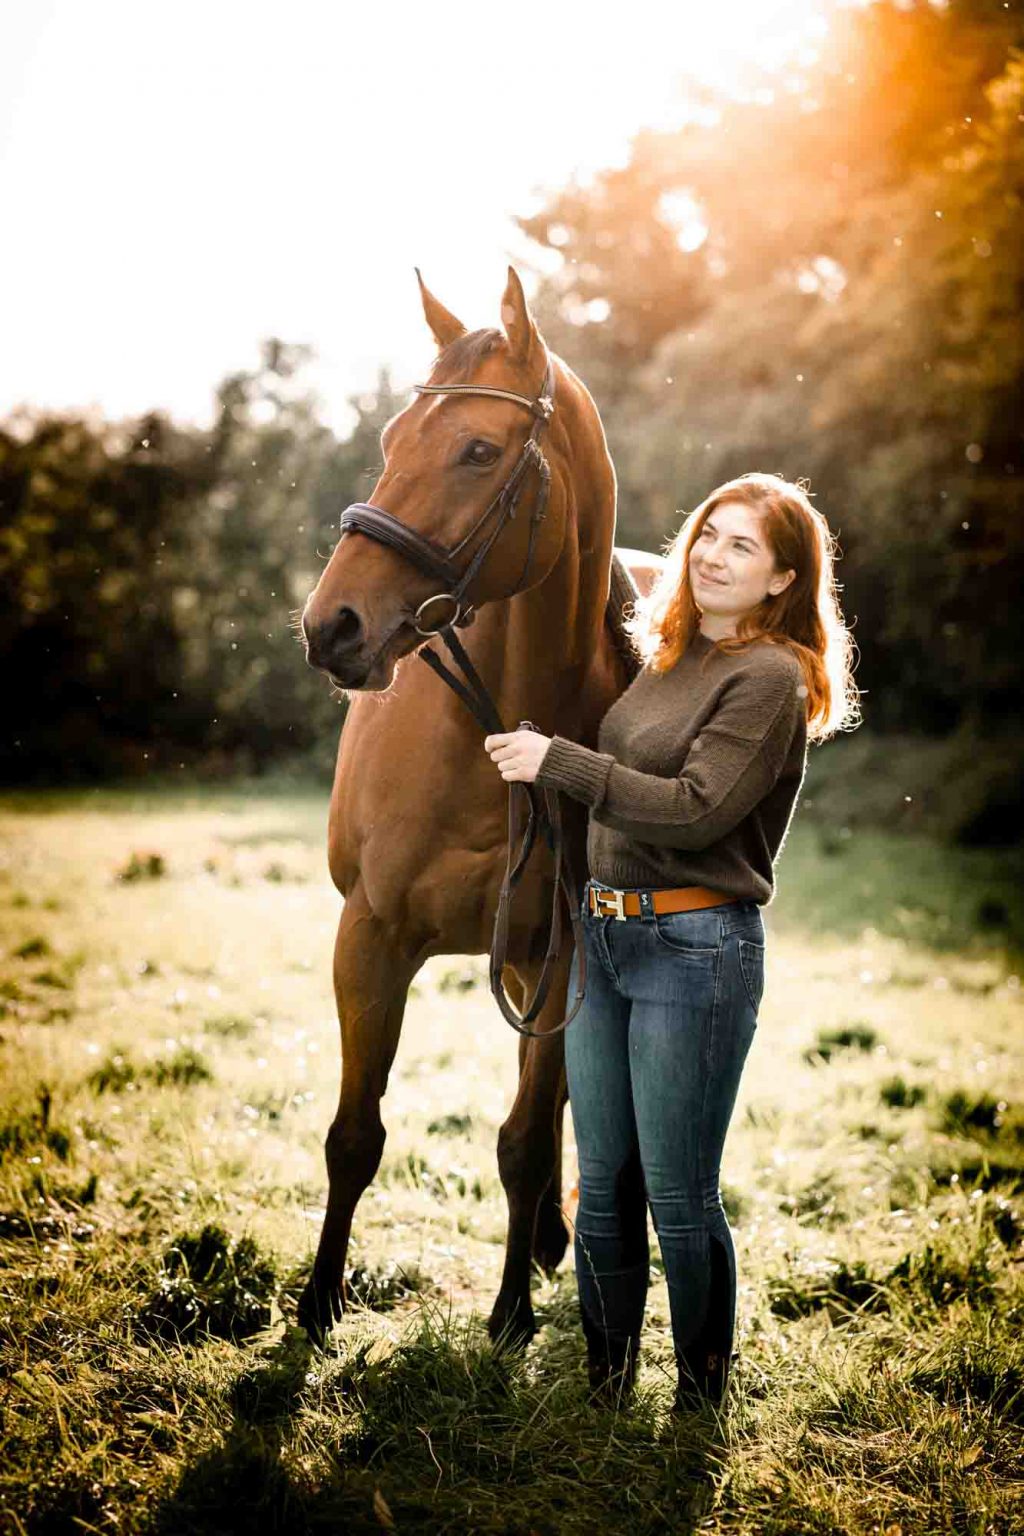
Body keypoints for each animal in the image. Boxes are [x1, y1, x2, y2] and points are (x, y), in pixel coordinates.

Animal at [298, 267, 652, 1348]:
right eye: (389, 442)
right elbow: (353, 1136)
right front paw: (315, 1306)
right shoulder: (370, 938)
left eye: (479, 451)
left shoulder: (561, 955)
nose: (331, 625)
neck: (492, 738)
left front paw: (508, 1315)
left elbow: (527, 1140)